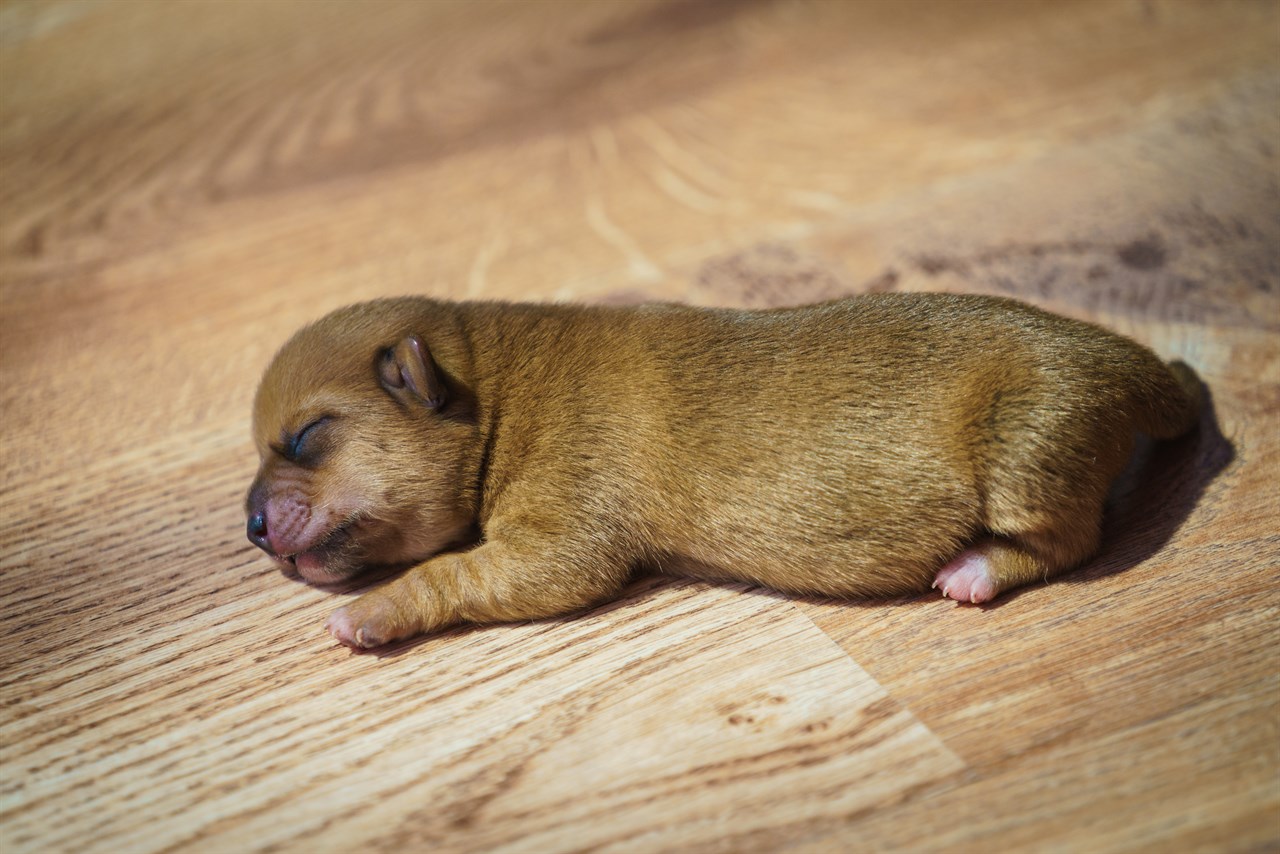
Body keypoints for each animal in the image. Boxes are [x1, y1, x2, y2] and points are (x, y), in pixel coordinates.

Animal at [241, 294, 1198, 647]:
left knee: (1072, 540)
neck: (498, 388)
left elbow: (458, 572)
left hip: (1028, 449)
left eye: (307, 436)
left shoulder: (560, 538)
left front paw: (372, 612)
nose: (249, 527)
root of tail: (1139, 371)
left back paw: (975, 570)